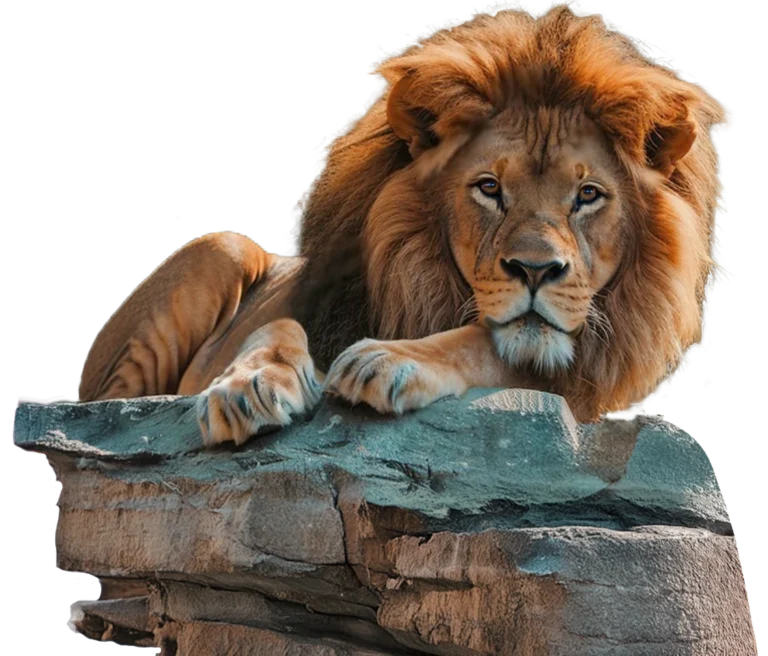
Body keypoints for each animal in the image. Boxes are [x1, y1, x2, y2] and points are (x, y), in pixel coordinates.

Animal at [78, 2, 734, 446]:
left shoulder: (584, 382)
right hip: (219, 248)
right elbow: (276, 327)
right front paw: (248, 388)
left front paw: (392, 360)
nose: (536, 270)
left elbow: (484, 344)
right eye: (489, 188)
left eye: (588, 195)